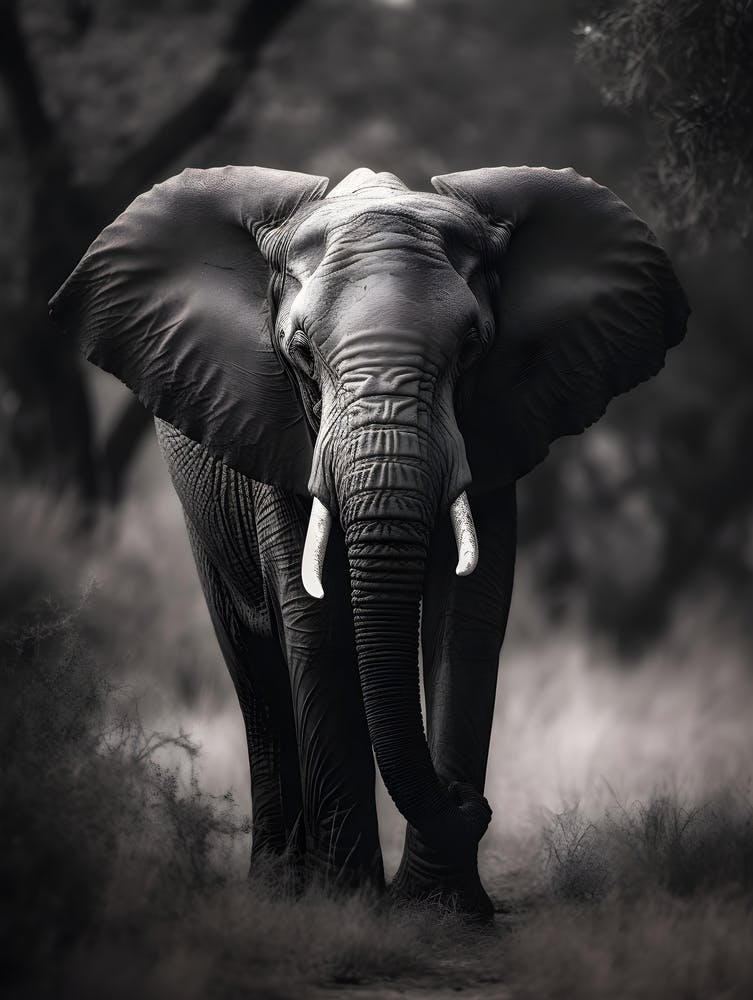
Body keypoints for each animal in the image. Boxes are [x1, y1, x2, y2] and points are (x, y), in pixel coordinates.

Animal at [50, 164, 688, 919]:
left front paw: (442, 910)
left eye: (471, 348)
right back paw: (278, 888)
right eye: (299, 353)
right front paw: (346, 905)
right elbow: (313, 622)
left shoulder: (493, 430)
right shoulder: (277, 430)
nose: (471, 802)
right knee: (256, 672)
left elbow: (467, 618)